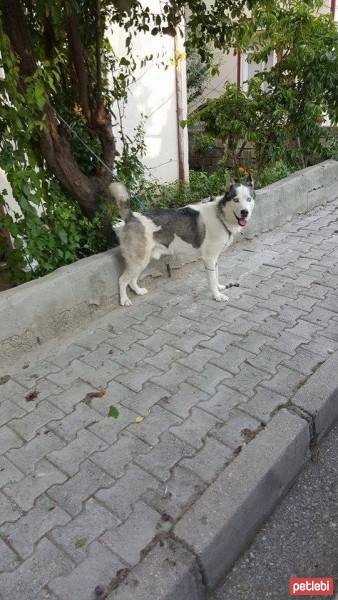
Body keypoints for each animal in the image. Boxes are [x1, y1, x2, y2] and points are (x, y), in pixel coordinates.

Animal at [109, 177, 255, 308]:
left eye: (248, 199)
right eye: (236, 200)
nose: (245, 212)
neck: (220, 216)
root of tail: (132, 217)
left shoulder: (215, 259)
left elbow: (216, 275)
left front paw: (219, 287)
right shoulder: (209, 258)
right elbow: (212, 279)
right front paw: (217, 296)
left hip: (142, 260)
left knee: (132, 280)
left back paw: (138, 291)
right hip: (139, 261)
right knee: (122, 280)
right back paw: (124, 300)